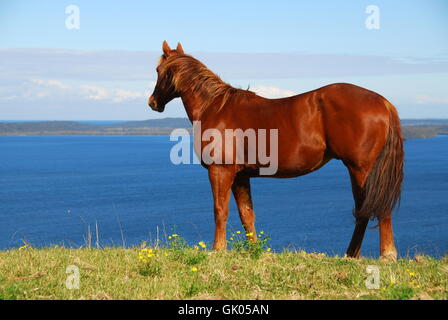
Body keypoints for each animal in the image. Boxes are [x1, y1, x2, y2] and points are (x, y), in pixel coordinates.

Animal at [149, 40, 404, 260]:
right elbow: (246, 214)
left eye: (158, 69)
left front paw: (218, 250)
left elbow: (220, 211)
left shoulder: (220, 170)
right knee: (363, 209)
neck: (216, 107)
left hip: (362, 169)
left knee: (375, 207)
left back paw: (386, 255)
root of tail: (383, 102)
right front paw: (254, 251)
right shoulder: (240, 175)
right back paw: (351, 254)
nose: (152, 103)